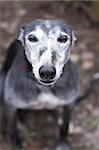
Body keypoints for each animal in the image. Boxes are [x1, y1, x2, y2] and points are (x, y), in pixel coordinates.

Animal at [0, 19, 80, 150]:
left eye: (63, 38)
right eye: (32, 38)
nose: (47, 72)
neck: (44, 87)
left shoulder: (70, 103)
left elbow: (65, 126)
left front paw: (63, 144)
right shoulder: (10, 105)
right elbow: (14, 133)